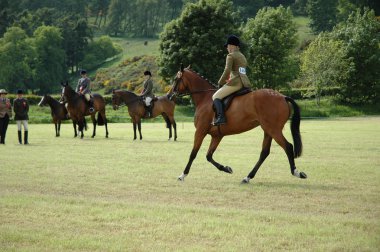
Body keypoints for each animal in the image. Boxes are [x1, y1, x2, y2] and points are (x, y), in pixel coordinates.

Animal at [171, 65, 308, 183]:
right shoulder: (217, 136)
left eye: (176, 79)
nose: (170, 95)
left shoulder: (200, 131)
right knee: (264, 152)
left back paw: (297, 172)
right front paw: (226, 168)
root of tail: (283, 96)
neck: (205, 98)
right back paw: (247, 177)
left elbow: (193, 153)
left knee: (288, 147)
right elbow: (209, 156)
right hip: (268, 130)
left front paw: (182, 175)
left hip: (273, 129)